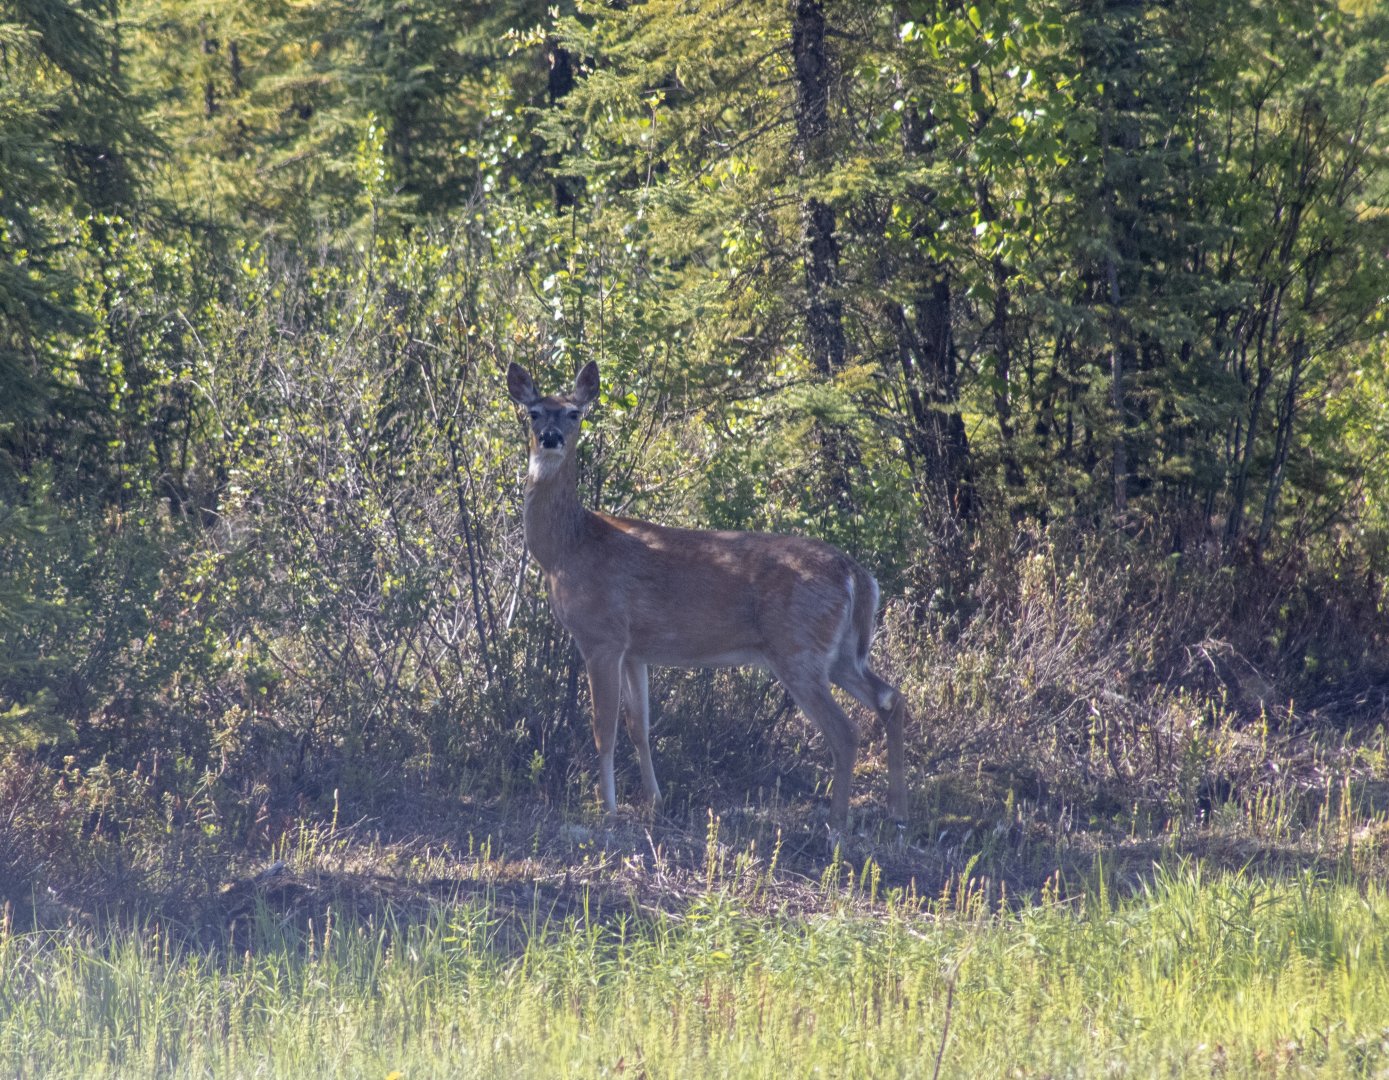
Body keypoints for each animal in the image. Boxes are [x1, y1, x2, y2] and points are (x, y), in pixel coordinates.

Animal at [507, 359, 909, 830]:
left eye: (574, 413)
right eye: (534, 412)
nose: (550, 437)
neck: (566, 547)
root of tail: (856, 574)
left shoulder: (601, 635)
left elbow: (603, 727)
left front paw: (607, 809)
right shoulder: (635, 648)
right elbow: (638, 726)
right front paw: (655, 800)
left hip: (798, 648)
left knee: (845, 730)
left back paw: (837, 822)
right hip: (841, 652)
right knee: (889, 697)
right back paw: (896, 810)